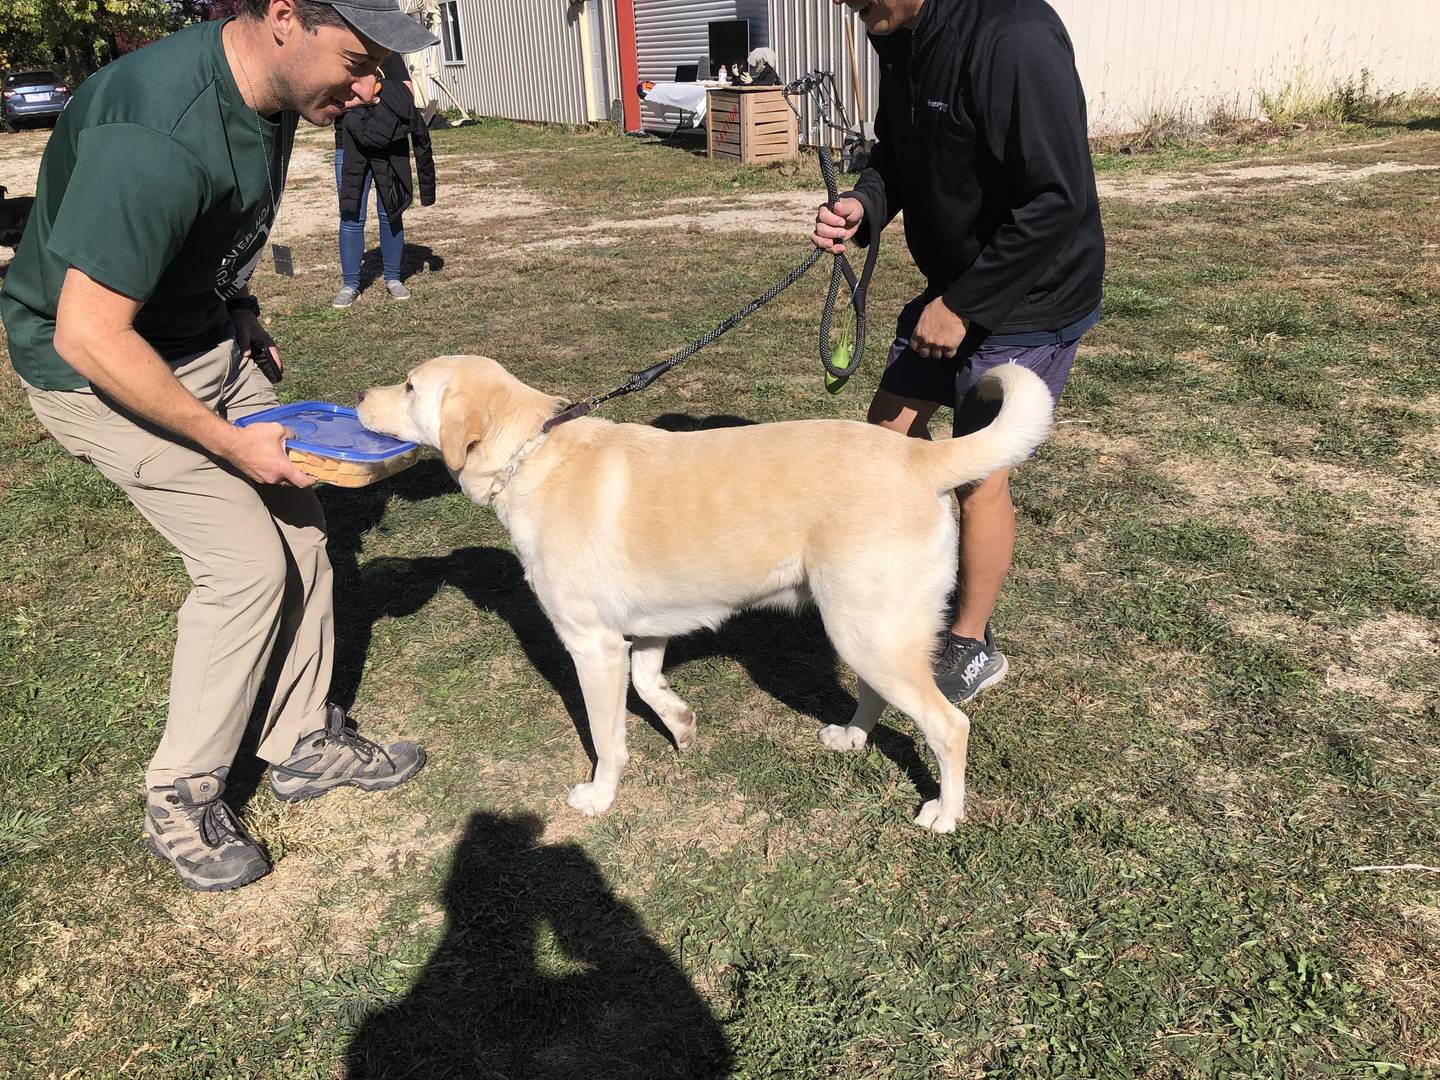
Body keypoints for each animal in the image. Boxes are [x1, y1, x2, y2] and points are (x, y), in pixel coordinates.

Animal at [360, 360, 1054, 835]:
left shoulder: (593, 646)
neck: (531, 454)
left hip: (868, 630)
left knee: (950, 724)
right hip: (865, 628)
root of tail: (917, 457)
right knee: (880, 695)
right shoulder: (644, 631)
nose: (362, 395)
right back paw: (853, 738)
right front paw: (682, 725)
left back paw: (945, 813)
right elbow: (649, 687)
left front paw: (600, 796)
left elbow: (606, 737)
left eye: (411, 387)